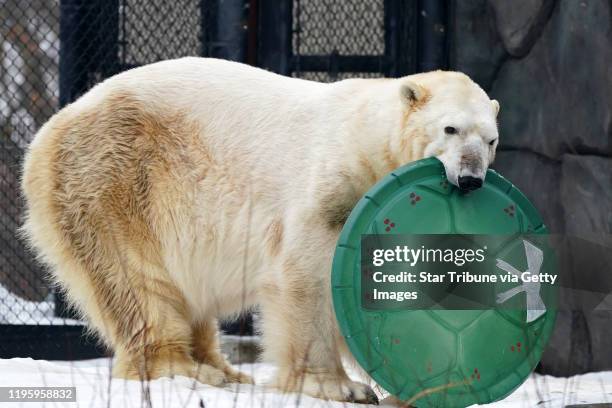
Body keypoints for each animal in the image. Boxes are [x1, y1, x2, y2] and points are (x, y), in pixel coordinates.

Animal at [21, 58, 500, 404]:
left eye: (491, 139)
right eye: (450, 128)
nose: (471, 179)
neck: (369, 142)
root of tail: (49, 132)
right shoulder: (332, 187)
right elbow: (309, 277)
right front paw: (339, 386)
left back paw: (226, 369)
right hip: (115, 180)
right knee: (138, 283)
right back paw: (185, 368)